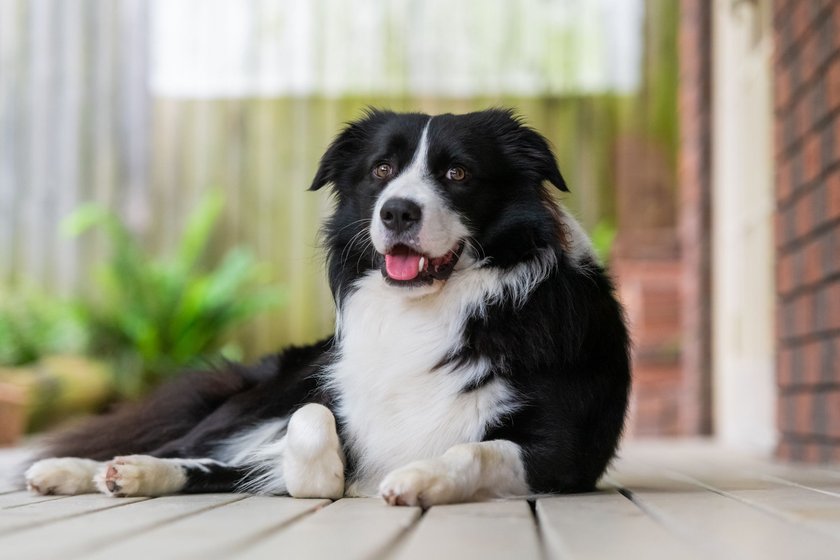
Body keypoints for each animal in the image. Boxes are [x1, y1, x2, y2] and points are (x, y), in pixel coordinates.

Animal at [21, 109, 632, 508]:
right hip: (262, 395)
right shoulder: (321, 399)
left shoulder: (563, 455)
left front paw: (417, 478)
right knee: (187, 447)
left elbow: (474, 452)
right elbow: (312, 423)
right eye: (381, 170)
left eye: (458, 173)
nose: (397, 212)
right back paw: (77, 470)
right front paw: (321, 477)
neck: (428, 309)